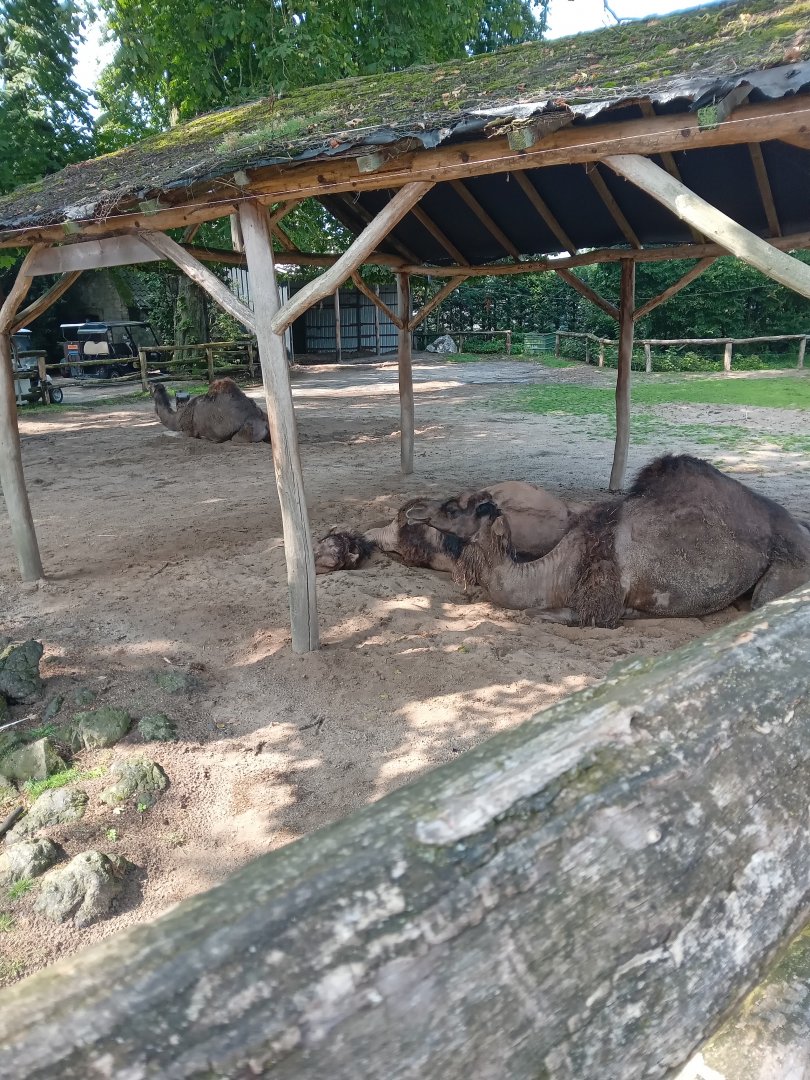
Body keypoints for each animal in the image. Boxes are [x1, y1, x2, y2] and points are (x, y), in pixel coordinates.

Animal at [441, 455, 810, 626]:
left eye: (472, 508)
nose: (436, 512)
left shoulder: (600, 600)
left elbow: (545, 614)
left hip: (787, 567)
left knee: (764, 602)